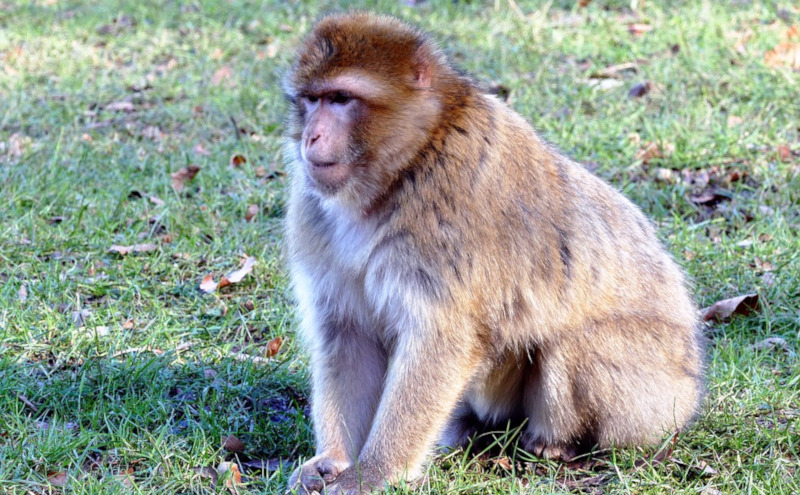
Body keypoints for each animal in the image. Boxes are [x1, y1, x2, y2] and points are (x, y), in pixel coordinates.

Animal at [280, 12, 700, 495]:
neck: (405, 166)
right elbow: (347, 333)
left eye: (341, 99)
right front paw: (335, 460)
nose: (311, 136)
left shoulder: (448, 217)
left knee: (572, 342)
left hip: (655, 397)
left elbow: (440, 342)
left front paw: (373, 473)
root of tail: (692, 382)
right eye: (311, 100)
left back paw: (553, 445)